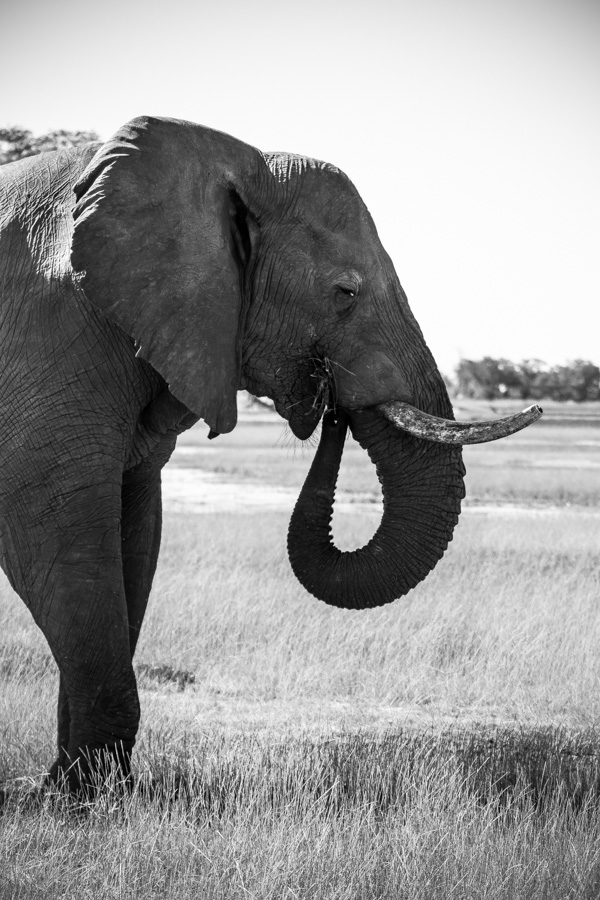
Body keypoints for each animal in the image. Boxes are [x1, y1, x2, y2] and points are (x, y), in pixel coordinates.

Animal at [0, 116, 544, 792]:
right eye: (345, 292)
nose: (330, 401)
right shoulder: (50, 340)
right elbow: (55, 537)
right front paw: (81, 798)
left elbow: (134, 537)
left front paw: (75, 788)